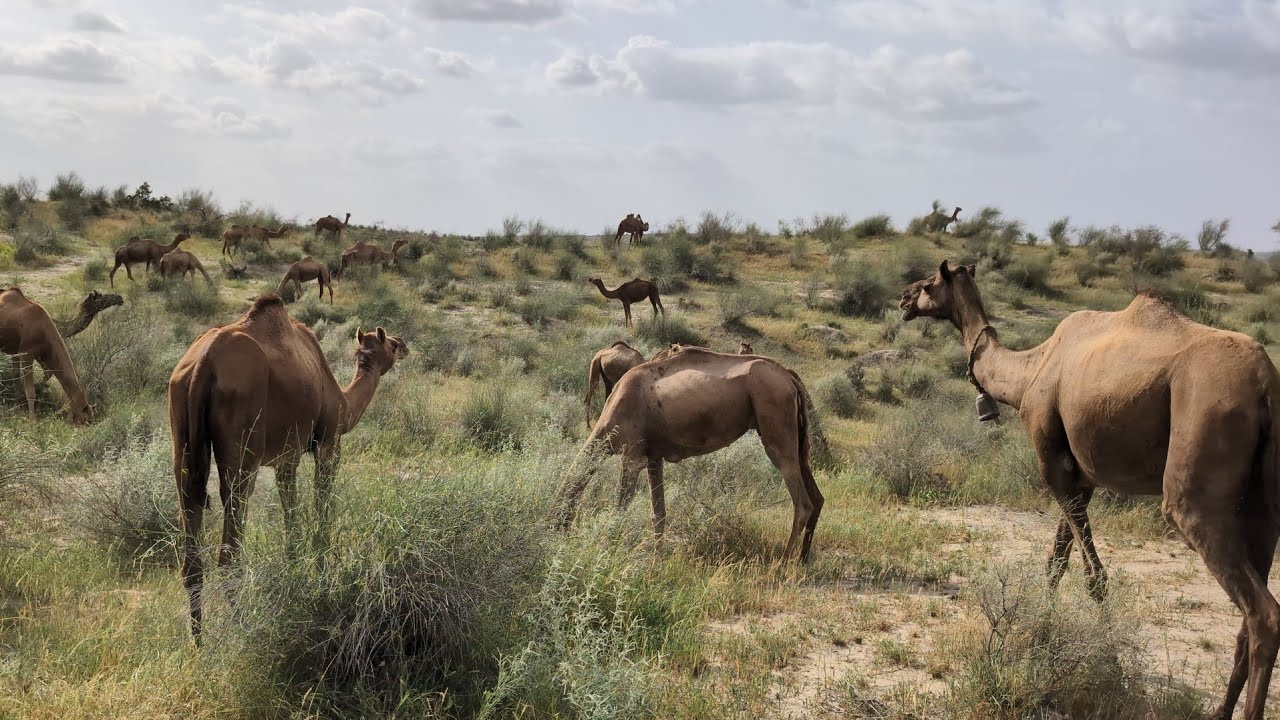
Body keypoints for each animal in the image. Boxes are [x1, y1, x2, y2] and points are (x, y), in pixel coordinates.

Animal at [0, 288, 95, 424]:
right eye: (85, 420)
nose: (88, 424)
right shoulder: (26, 353)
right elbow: (30, 390)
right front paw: (32, 420)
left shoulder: (39, 355)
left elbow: (43, 374)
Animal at [168, 294, 407, 640]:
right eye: (389, 342)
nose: (404, 344)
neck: (341, 399)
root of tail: (202, 365)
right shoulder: (328, 442)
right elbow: (321, 508)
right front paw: (322, 573)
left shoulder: (286, 456)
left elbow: (290, 516)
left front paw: (295, 571)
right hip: (243, 447)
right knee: (229, 553)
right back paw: (244, 630)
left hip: (182, 431)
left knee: (191, 537)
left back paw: (198, 641)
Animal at [556, 347, 822, 561]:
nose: (555, 532)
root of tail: (789, 377)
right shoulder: (653, 457)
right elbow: (658, 513)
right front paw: (657, 558)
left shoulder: (632, 456)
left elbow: (621, 507)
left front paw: (611, 548)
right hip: (798, 443)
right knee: (817, 497)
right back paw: (802, 558)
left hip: (776, 432)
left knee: (802, 504)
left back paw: (783, 562)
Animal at [899, 260, 1280, 720]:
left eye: (928, 284)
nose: (903, 300)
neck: (1030, 370)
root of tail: (1266, 387)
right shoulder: (1082, 476)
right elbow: (1056, 561)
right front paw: (1042, 632)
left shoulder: (1051, 462)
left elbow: (1093, 575)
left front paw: (1111, 664)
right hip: (1263, 504)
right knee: (1249, 609)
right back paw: (1220, 711)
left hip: (1197, 473)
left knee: (1263, 614)